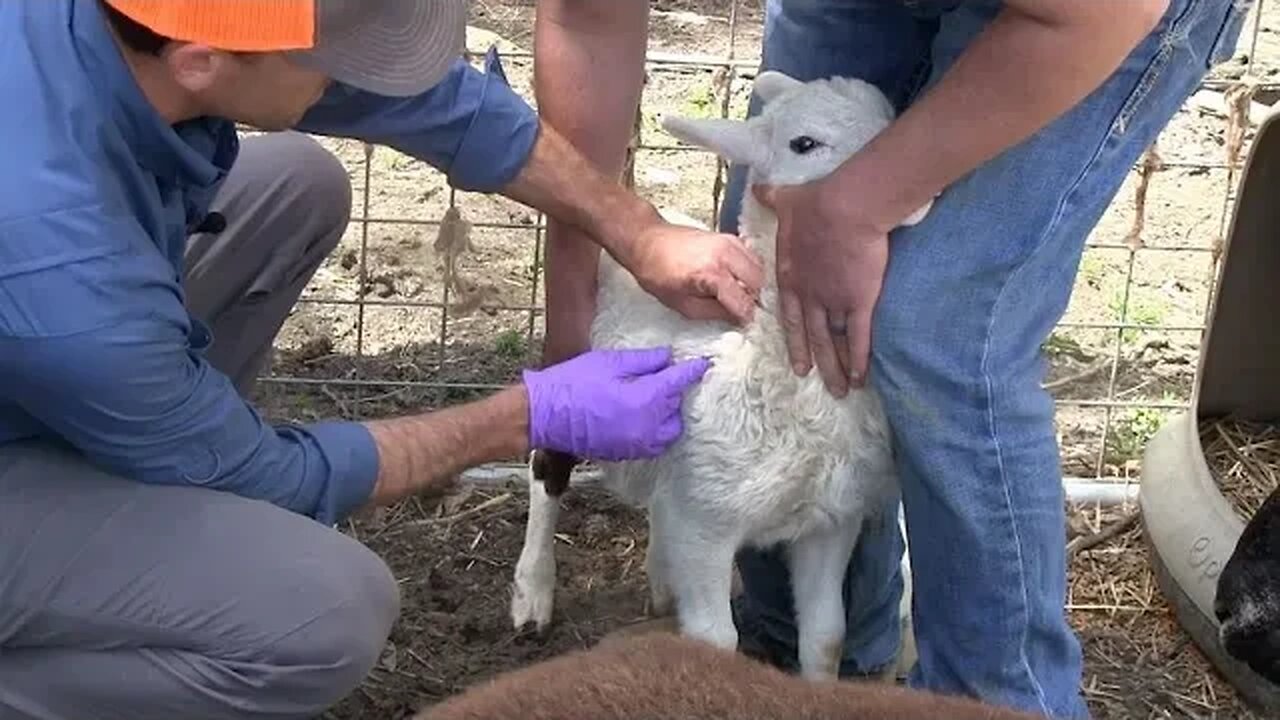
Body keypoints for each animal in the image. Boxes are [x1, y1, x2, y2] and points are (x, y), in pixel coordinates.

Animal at [506, 68, 931, 676]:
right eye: (804, 144)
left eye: (891, 117)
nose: (916, 188)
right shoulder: (707, 523)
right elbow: (715, 642)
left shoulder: (828, 521)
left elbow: (826, 637)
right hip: (572, 373)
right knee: (548, 467)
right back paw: (533, 592)